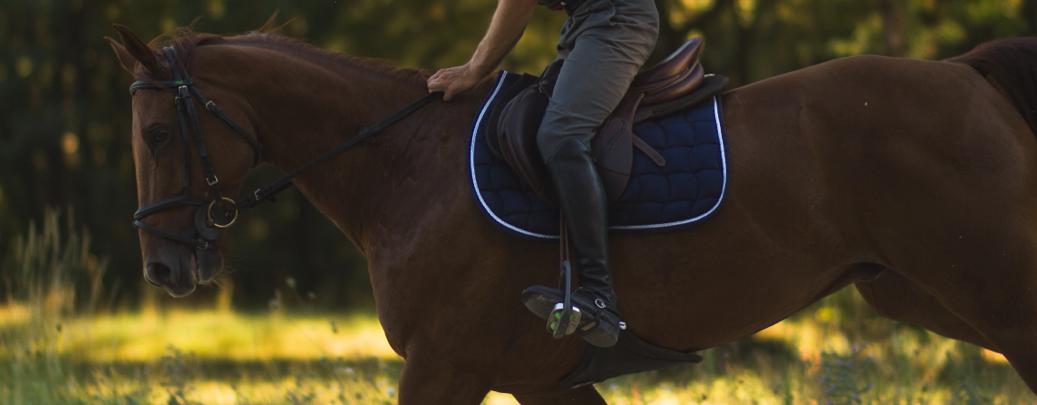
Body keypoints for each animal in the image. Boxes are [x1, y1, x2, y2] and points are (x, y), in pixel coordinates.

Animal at [105, 23, 1037, 405]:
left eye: (156, 132)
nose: (162, 266)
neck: (404, 165)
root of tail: (964, 72)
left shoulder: (442, 369)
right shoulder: (537, 380)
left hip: (997, 296)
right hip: (915, 292)